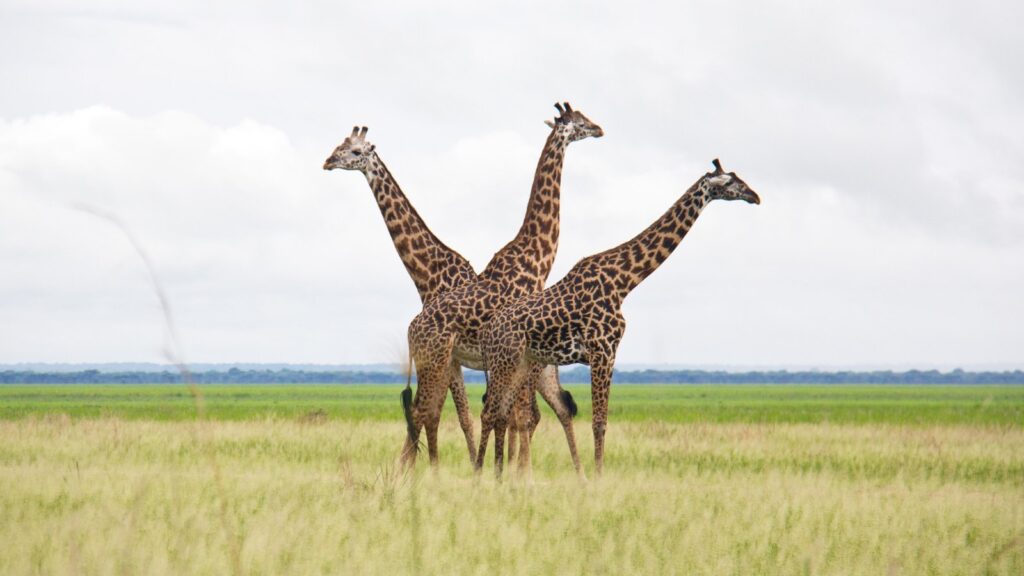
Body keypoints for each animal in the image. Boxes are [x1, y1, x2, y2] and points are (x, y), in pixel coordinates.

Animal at [402, 103, 604, 472]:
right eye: (580, 121)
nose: (600, 129)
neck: (535, 253)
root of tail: (411, 329)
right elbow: (515, 415)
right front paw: (513, 472)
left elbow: (512, 415)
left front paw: (507, 470)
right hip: (438, 362)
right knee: (424, 412)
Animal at [478, 159, 760, 477]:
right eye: (731, 183)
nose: (755, 196)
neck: (624, 281)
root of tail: (488, 332)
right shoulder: (603, 351)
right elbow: (599, 422)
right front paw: (599, 478)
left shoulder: (609, 353)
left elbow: (599, 421)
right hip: (505, 363)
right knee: (490, 412)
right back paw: (480, 475)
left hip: (520, 365)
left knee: (502, 414)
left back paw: (500, 477)